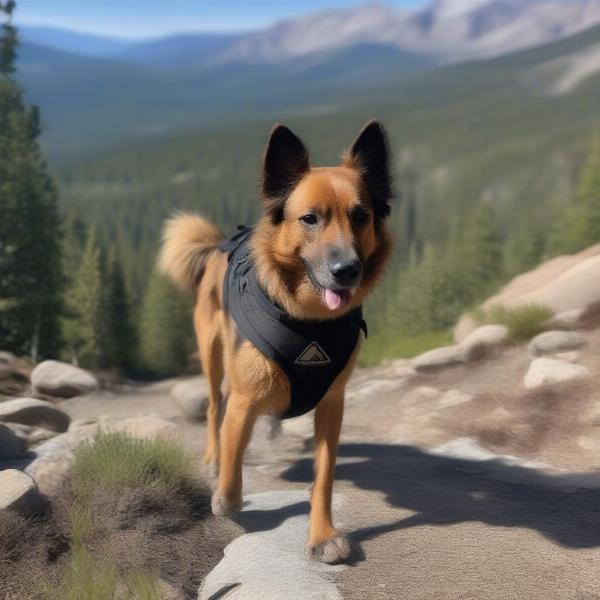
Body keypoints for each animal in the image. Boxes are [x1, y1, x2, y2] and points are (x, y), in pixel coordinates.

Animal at [159, 120, 394, 564]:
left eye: (361, 215)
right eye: (310, 219)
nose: (347, 271)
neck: (309, 323)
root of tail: (219, 245)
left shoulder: (331, 406)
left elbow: (324, 477)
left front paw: (322, 534)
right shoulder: (244, 399)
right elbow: (232, 472)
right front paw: (226, 498)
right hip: (213, 356)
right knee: (215, 408)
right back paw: (214, 456)